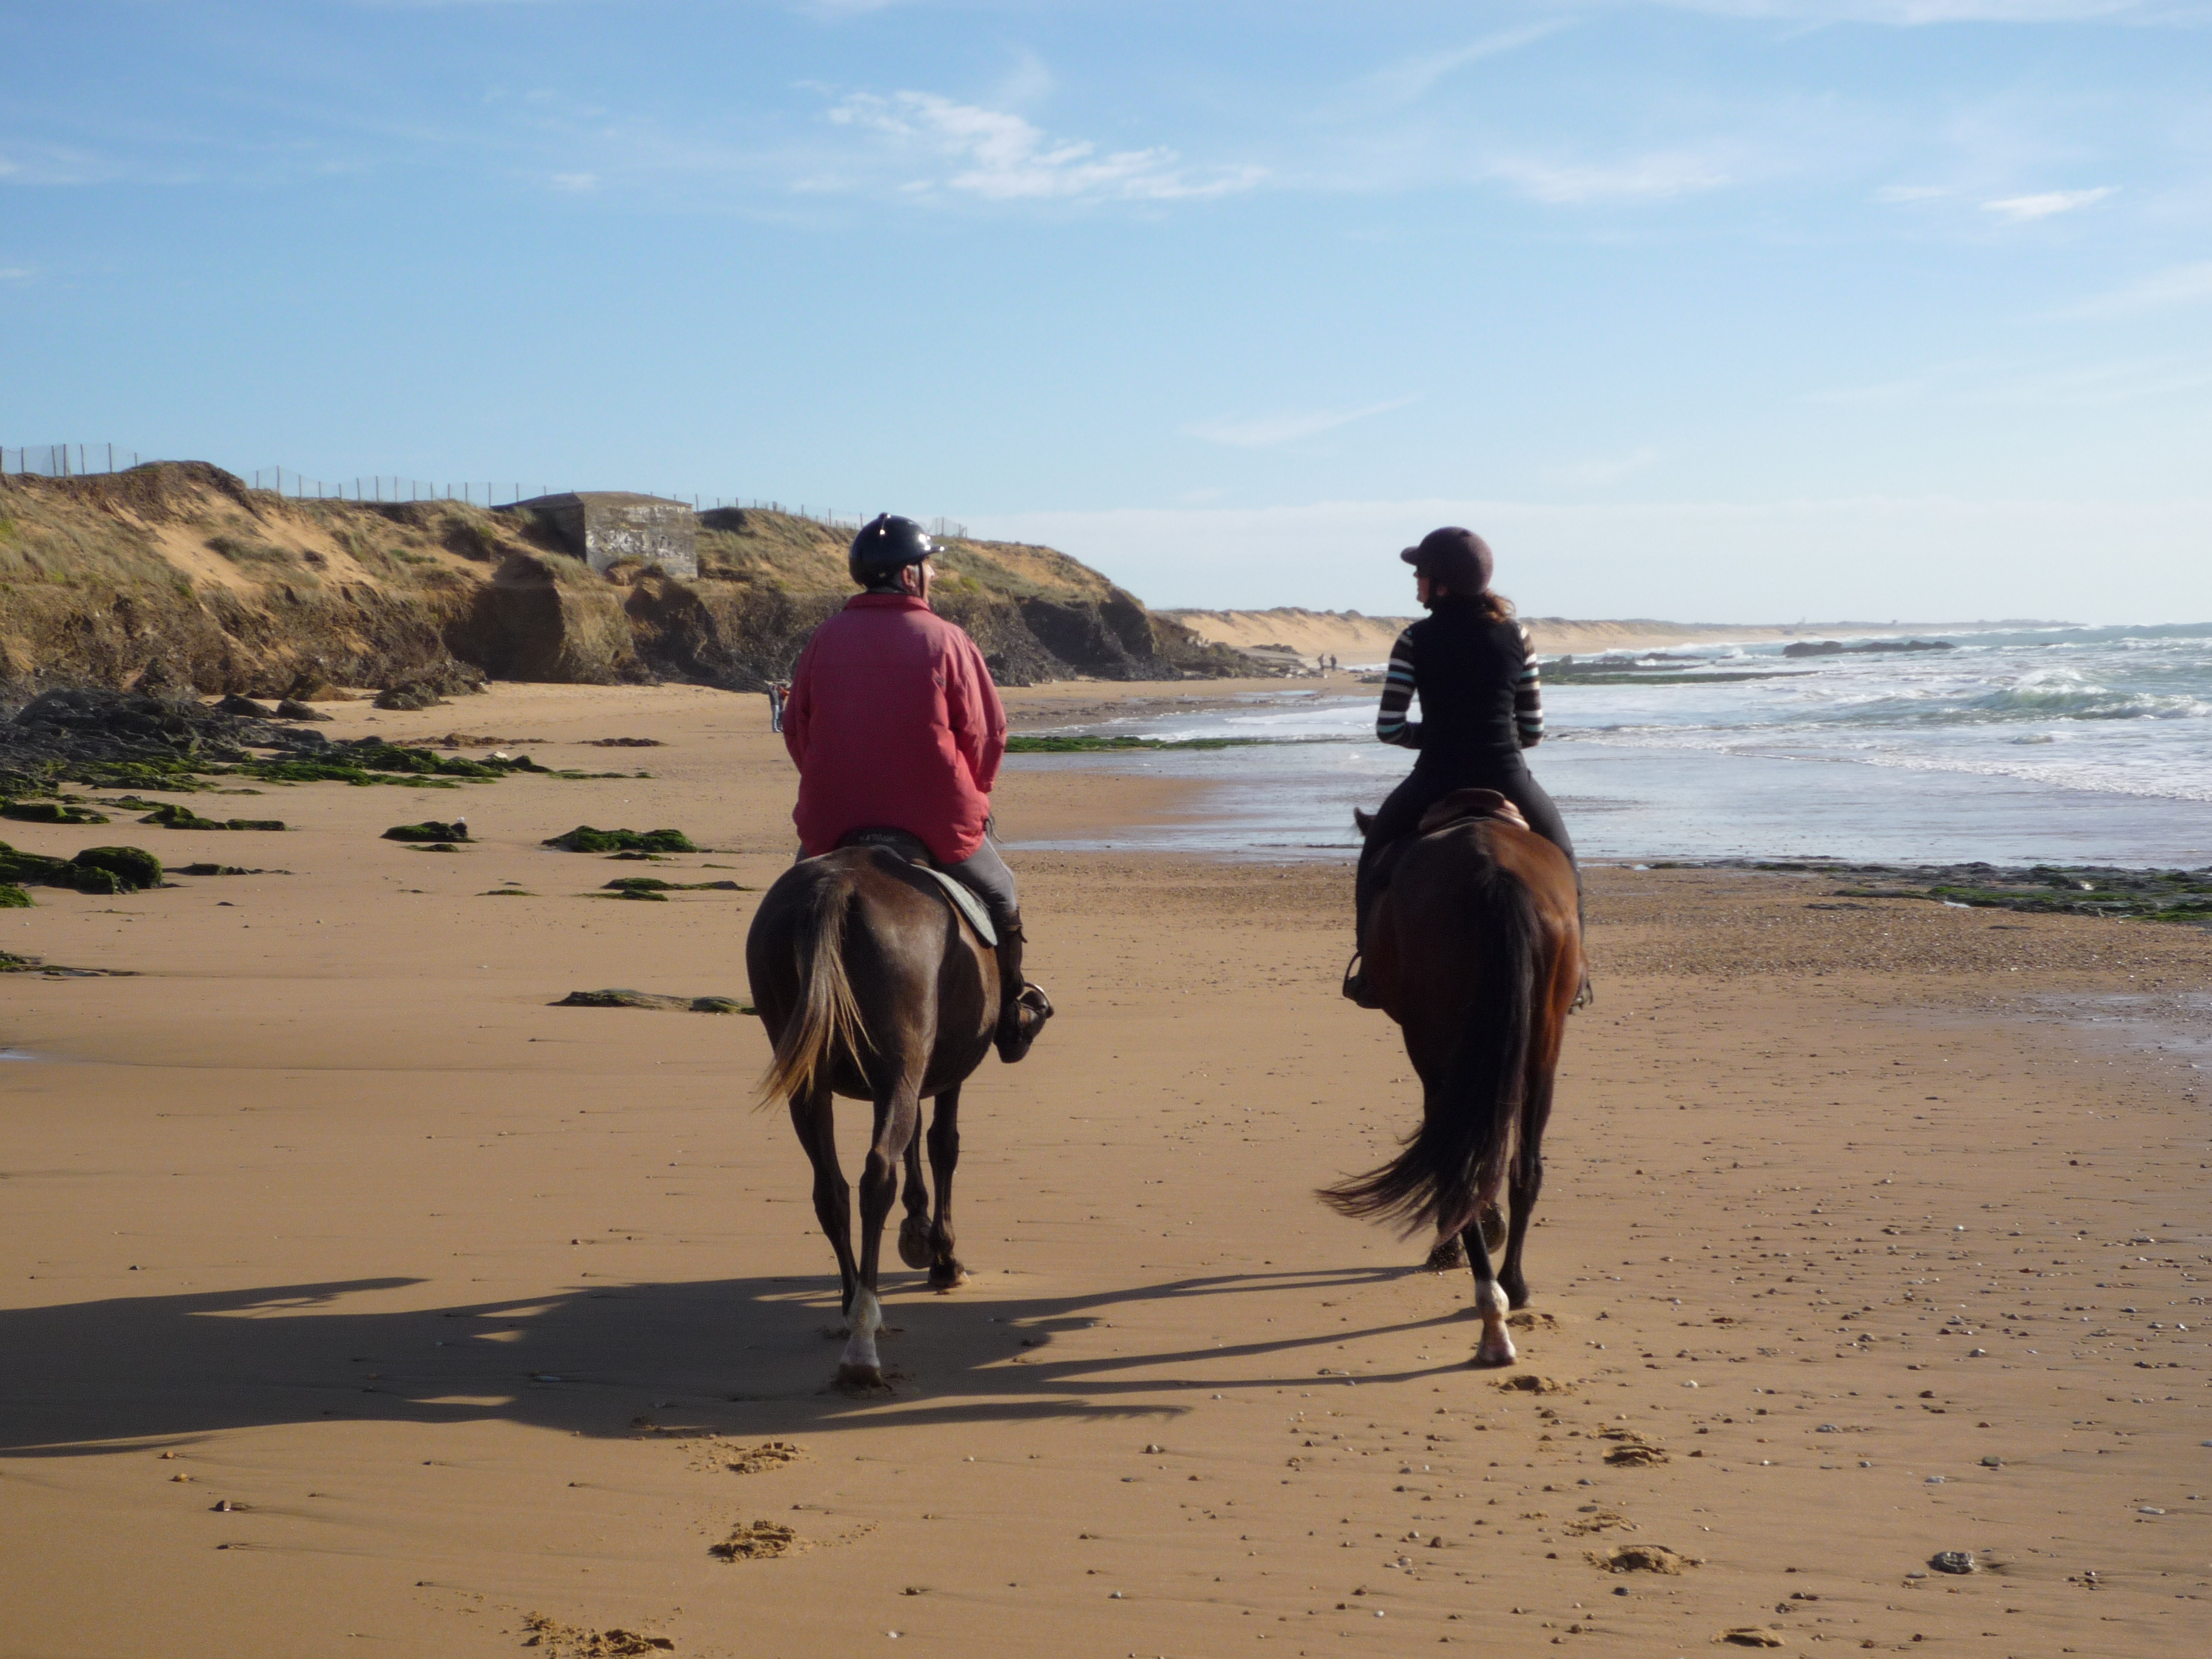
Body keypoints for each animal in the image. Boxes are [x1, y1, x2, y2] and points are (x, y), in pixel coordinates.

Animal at [748, 836, 999, 1398]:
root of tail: (838, 885)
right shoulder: (944, 1072)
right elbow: (942, 1143)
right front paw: (943, 1257)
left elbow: (918, 1143)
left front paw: (918, 1229)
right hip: (899, 1067)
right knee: (877, 1176)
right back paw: (864, 1337)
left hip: (810, 1079)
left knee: (832, 1189)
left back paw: (851, 1306)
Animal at [1318, 796, 1583, 1380]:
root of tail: (1493, 869)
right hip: (1543, 1043)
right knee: (1525, 1166)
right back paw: (1512, 1288)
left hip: (1434, 1041)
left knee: (1458, 1162)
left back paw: (1491, 1316)